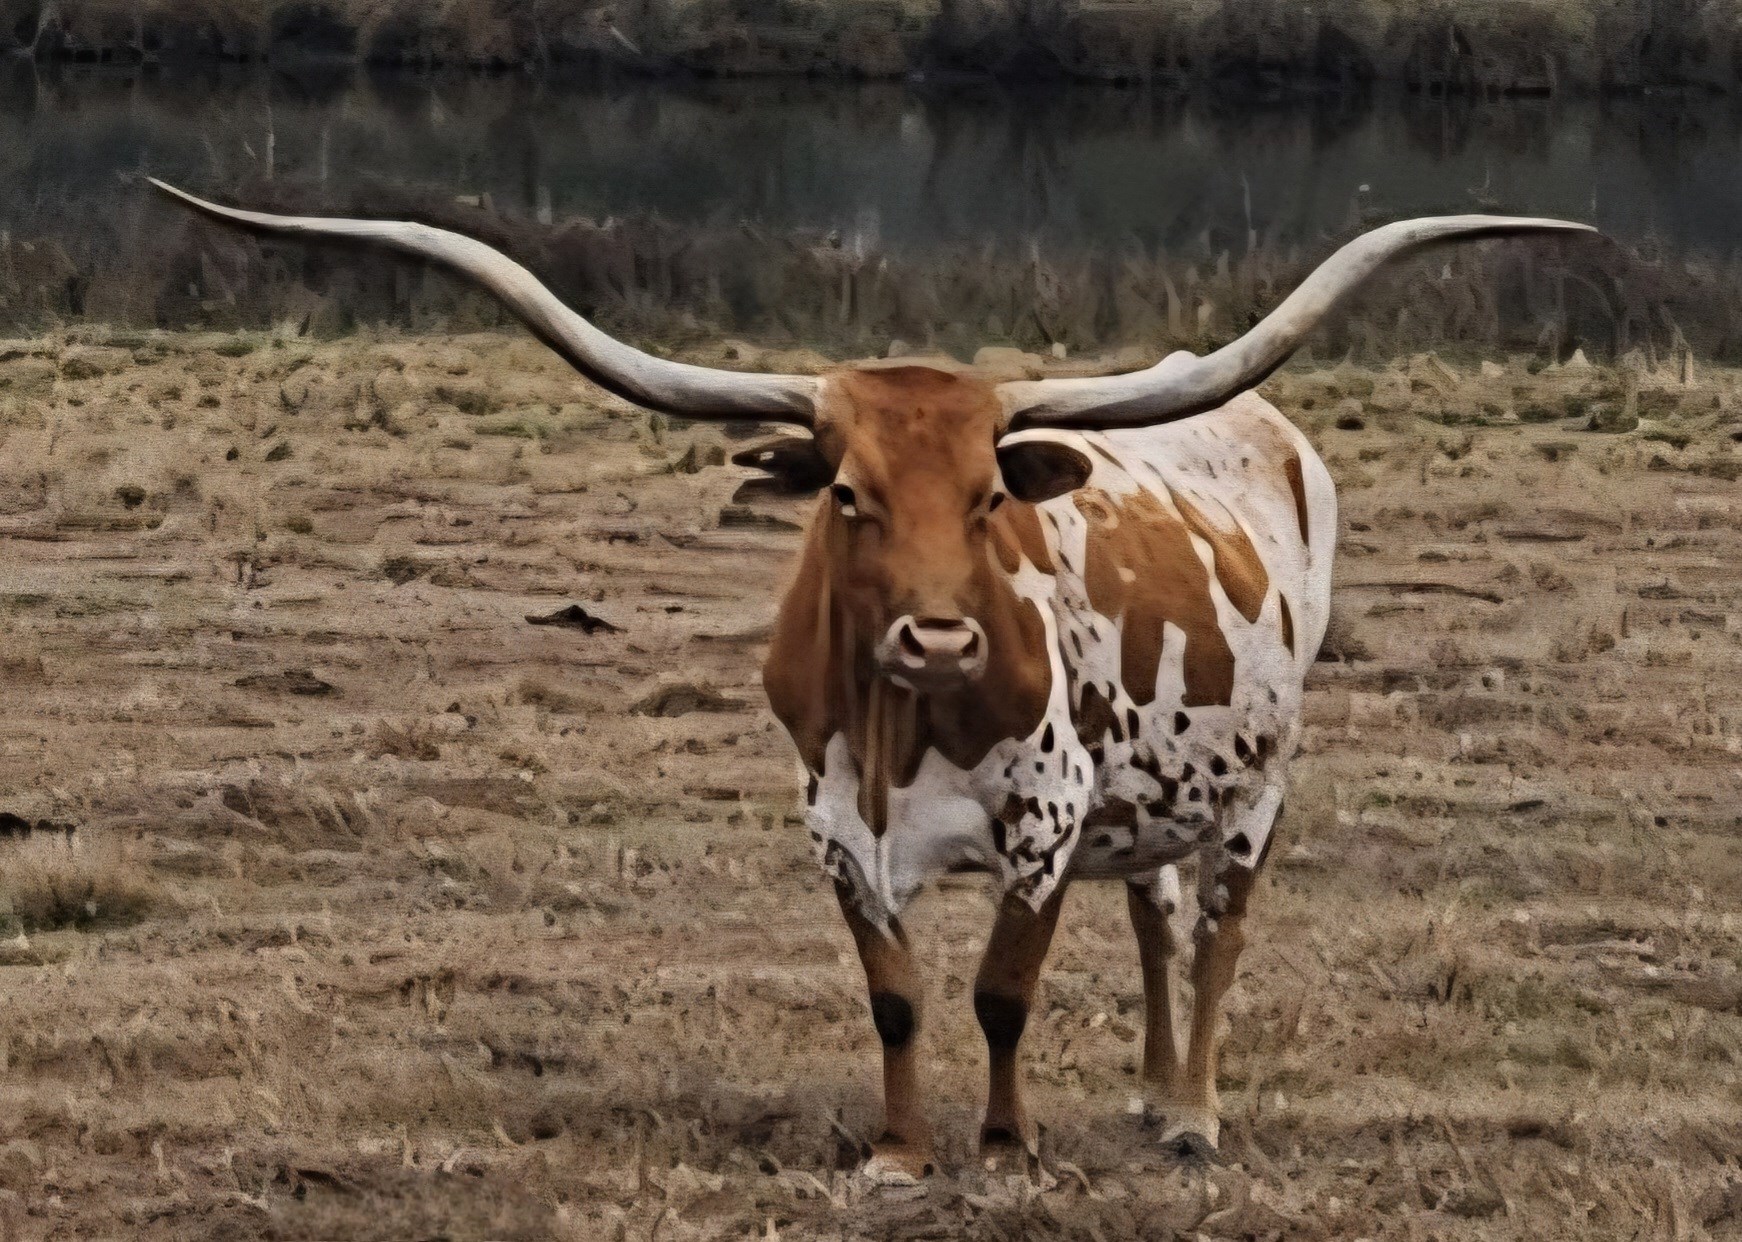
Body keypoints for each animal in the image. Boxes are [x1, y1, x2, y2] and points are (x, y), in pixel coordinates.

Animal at [150, 180, 1591, 1176]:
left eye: (986, 497)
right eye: (847, 493)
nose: (938, 640)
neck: (907, 730)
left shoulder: (1046, 819)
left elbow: (1001, 992)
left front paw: (1002, 1147)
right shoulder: (835, 824)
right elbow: (895, 998)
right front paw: (900, 1153)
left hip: (1256, 791)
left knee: (1220, 934)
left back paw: (1190, 1114)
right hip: (1152, 799)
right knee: (1157, 918)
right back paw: (1148, 1090)